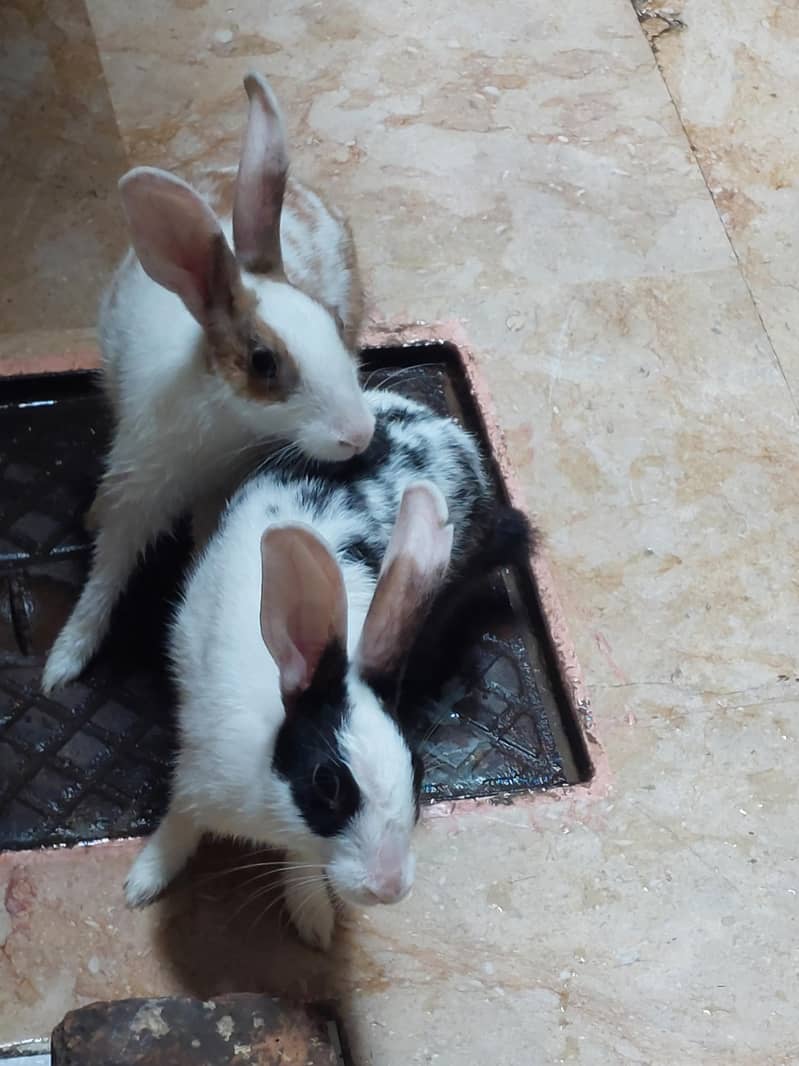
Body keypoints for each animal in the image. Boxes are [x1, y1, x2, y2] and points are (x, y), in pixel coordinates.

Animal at [42, 71, 373, 695]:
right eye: (263, 361)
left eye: (334, 322)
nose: (359, 435)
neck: (221, 430)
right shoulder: (137, 491)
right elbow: (105, 576)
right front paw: (63, 663)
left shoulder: (216, 496)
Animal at [124, 389, 531, 949]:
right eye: (328, 783)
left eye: (419, 771)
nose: (388, 887)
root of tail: (430, 420)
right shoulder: (195, 775)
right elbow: (179, 822)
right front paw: (144, 881)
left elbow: (300, 866)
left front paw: (312, 919)